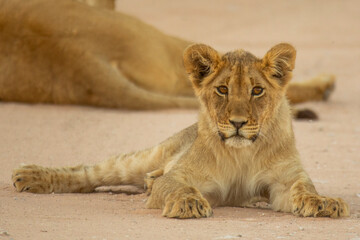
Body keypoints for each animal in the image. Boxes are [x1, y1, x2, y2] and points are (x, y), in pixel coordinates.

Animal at [11, 42, 348, 218]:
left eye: (257, 91)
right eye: (223, 89)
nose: (238, 123)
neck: (243, 153)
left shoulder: (284, 181)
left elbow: (304, 189)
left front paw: (324, 203)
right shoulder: (181, 175)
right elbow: (177, 186)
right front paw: (188, 203)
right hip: (149, 156)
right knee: (91, 172)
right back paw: (29, 176)